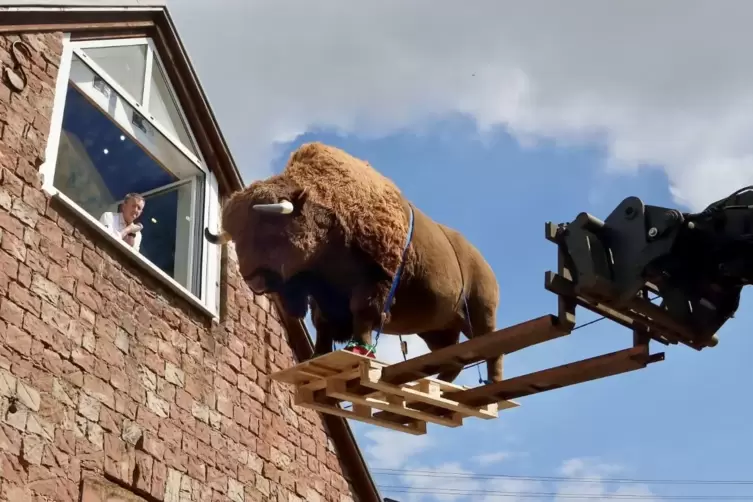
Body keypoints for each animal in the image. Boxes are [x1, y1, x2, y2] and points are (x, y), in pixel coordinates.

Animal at [203, 143, 502, 382]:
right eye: (237, 238)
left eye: (270, 229)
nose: (253, 278)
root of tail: (485, 264)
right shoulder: (321, 295)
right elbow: (322, 324)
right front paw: (316, 356)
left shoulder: (375, 280)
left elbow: (363, 313)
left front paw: (357, 349)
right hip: (437, 328)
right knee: (452, 356)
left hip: (480, 313)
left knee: (489, 348)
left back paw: (491, 382)